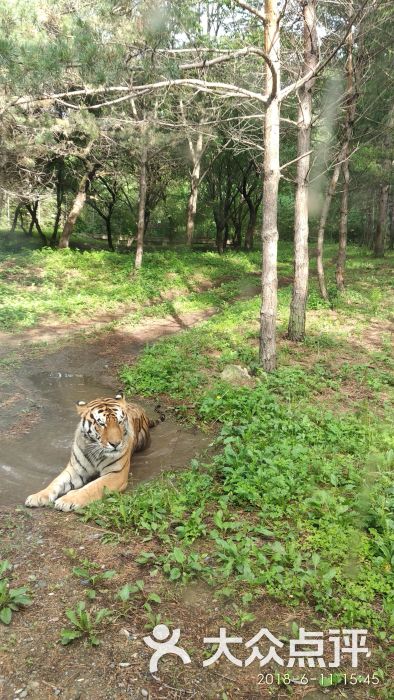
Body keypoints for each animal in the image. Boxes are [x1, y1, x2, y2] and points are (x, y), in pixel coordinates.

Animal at [23, 392, 157, 512]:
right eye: (101, 423)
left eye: (120, 422)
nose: (116, 444)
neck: (96, 452)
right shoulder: (75, 470)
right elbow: (56, 482)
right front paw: (38, 496)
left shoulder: (116, 474)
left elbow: (93, 487)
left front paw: (67, 500)